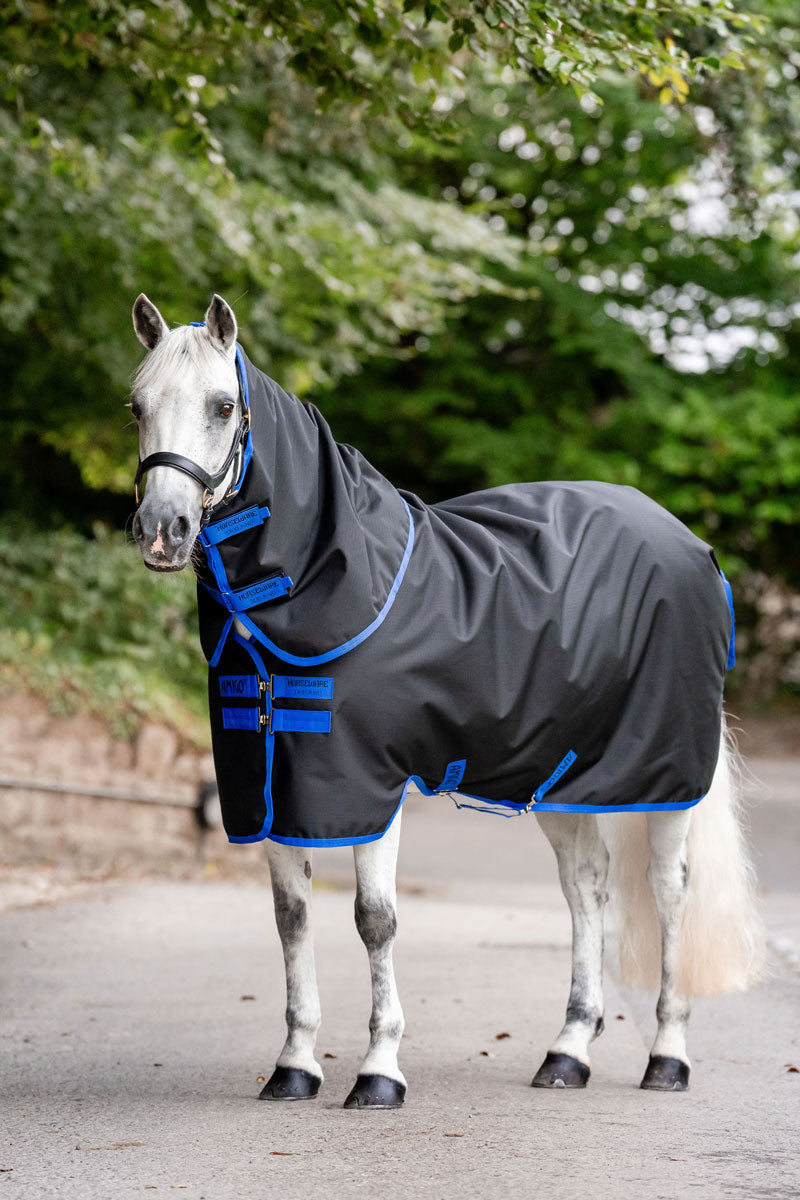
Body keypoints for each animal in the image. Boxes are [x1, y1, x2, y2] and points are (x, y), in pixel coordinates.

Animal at [128, 292, 764, 1109]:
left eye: (222, 405)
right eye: (136, 405)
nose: (162, 531)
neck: (327, 581)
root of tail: (693, 546)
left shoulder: (369, 785)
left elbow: (374, 920)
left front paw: (379, 1072)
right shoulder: (270, 787)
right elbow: (291, 919)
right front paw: (295, 1066)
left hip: (668, 776)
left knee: (671, 891)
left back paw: (668, 1057)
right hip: (559, 775)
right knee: (586, 887)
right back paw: (567, 1052)